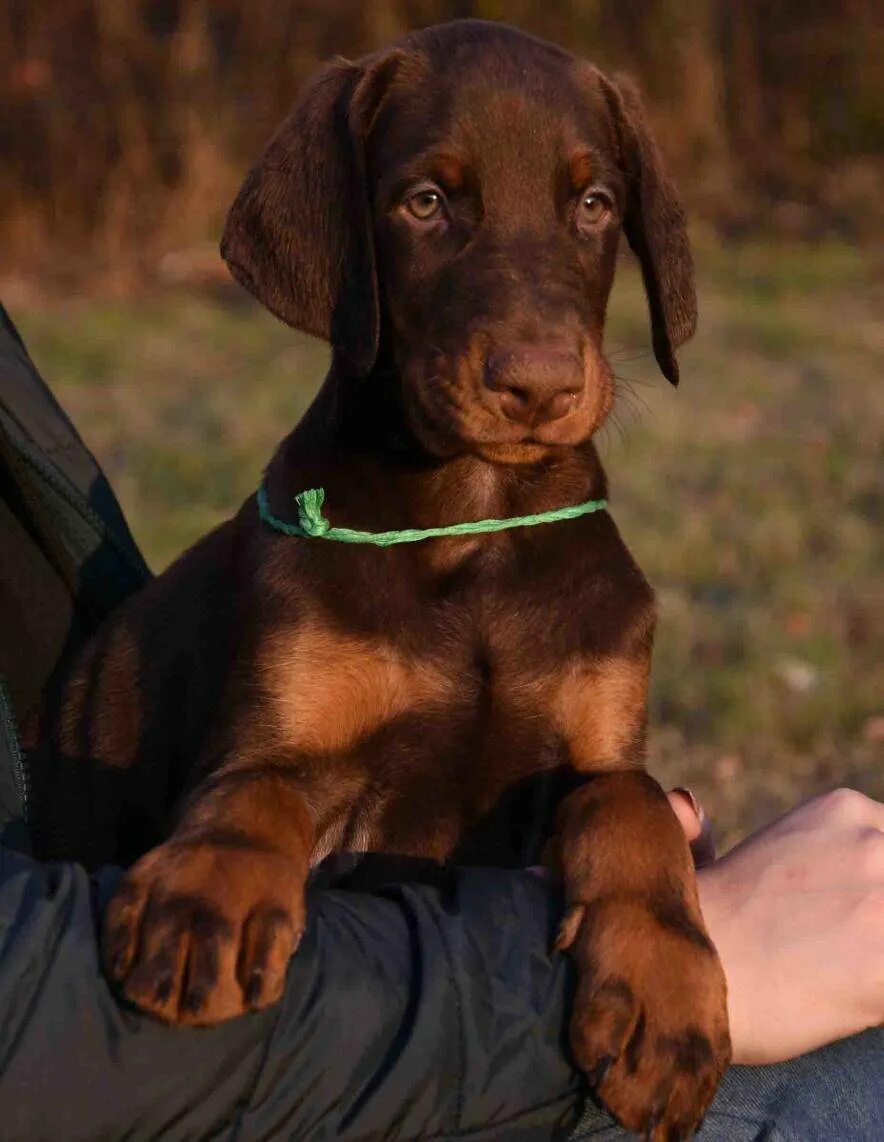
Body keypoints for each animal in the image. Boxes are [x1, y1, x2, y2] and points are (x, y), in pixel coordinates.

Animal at [31, 20, 730, 1142]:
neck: (474, 518)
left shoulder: (597, 739)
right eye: (426, 202)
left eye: (593, 204)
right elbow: (254, 789)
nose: (539, 384)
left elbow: (631, 806)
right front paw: (207, 900)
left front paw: (665, 999)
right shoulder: (293, 739)